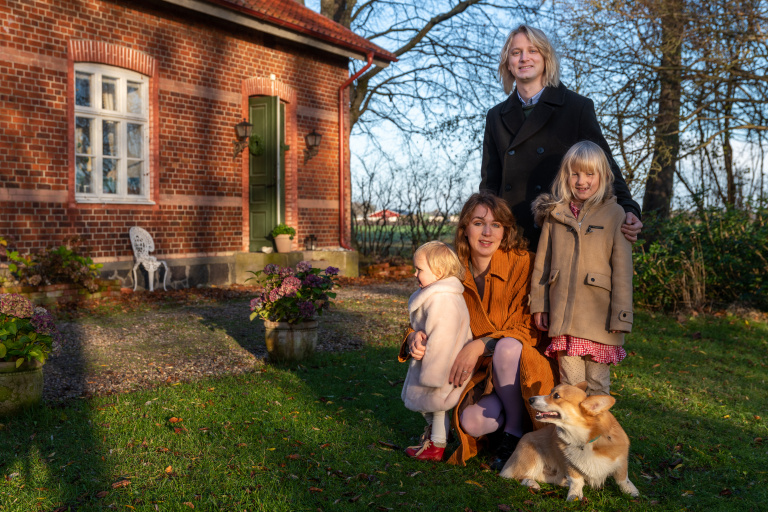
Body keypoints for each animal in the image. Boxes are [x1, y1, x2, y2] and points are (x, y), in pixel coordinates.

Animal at [498, 382, 636, 502]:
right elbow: (576, 481)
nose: (530, 399)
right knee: (517, 476)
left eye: (556, 396)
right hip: (532, 457)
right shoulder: (570, 464)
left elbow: (623, 478)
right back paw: (532, 484)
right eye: (551, 392)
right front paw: (574, 496)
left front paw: (630, 491)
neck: (585, 439)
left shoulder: (621, 461)